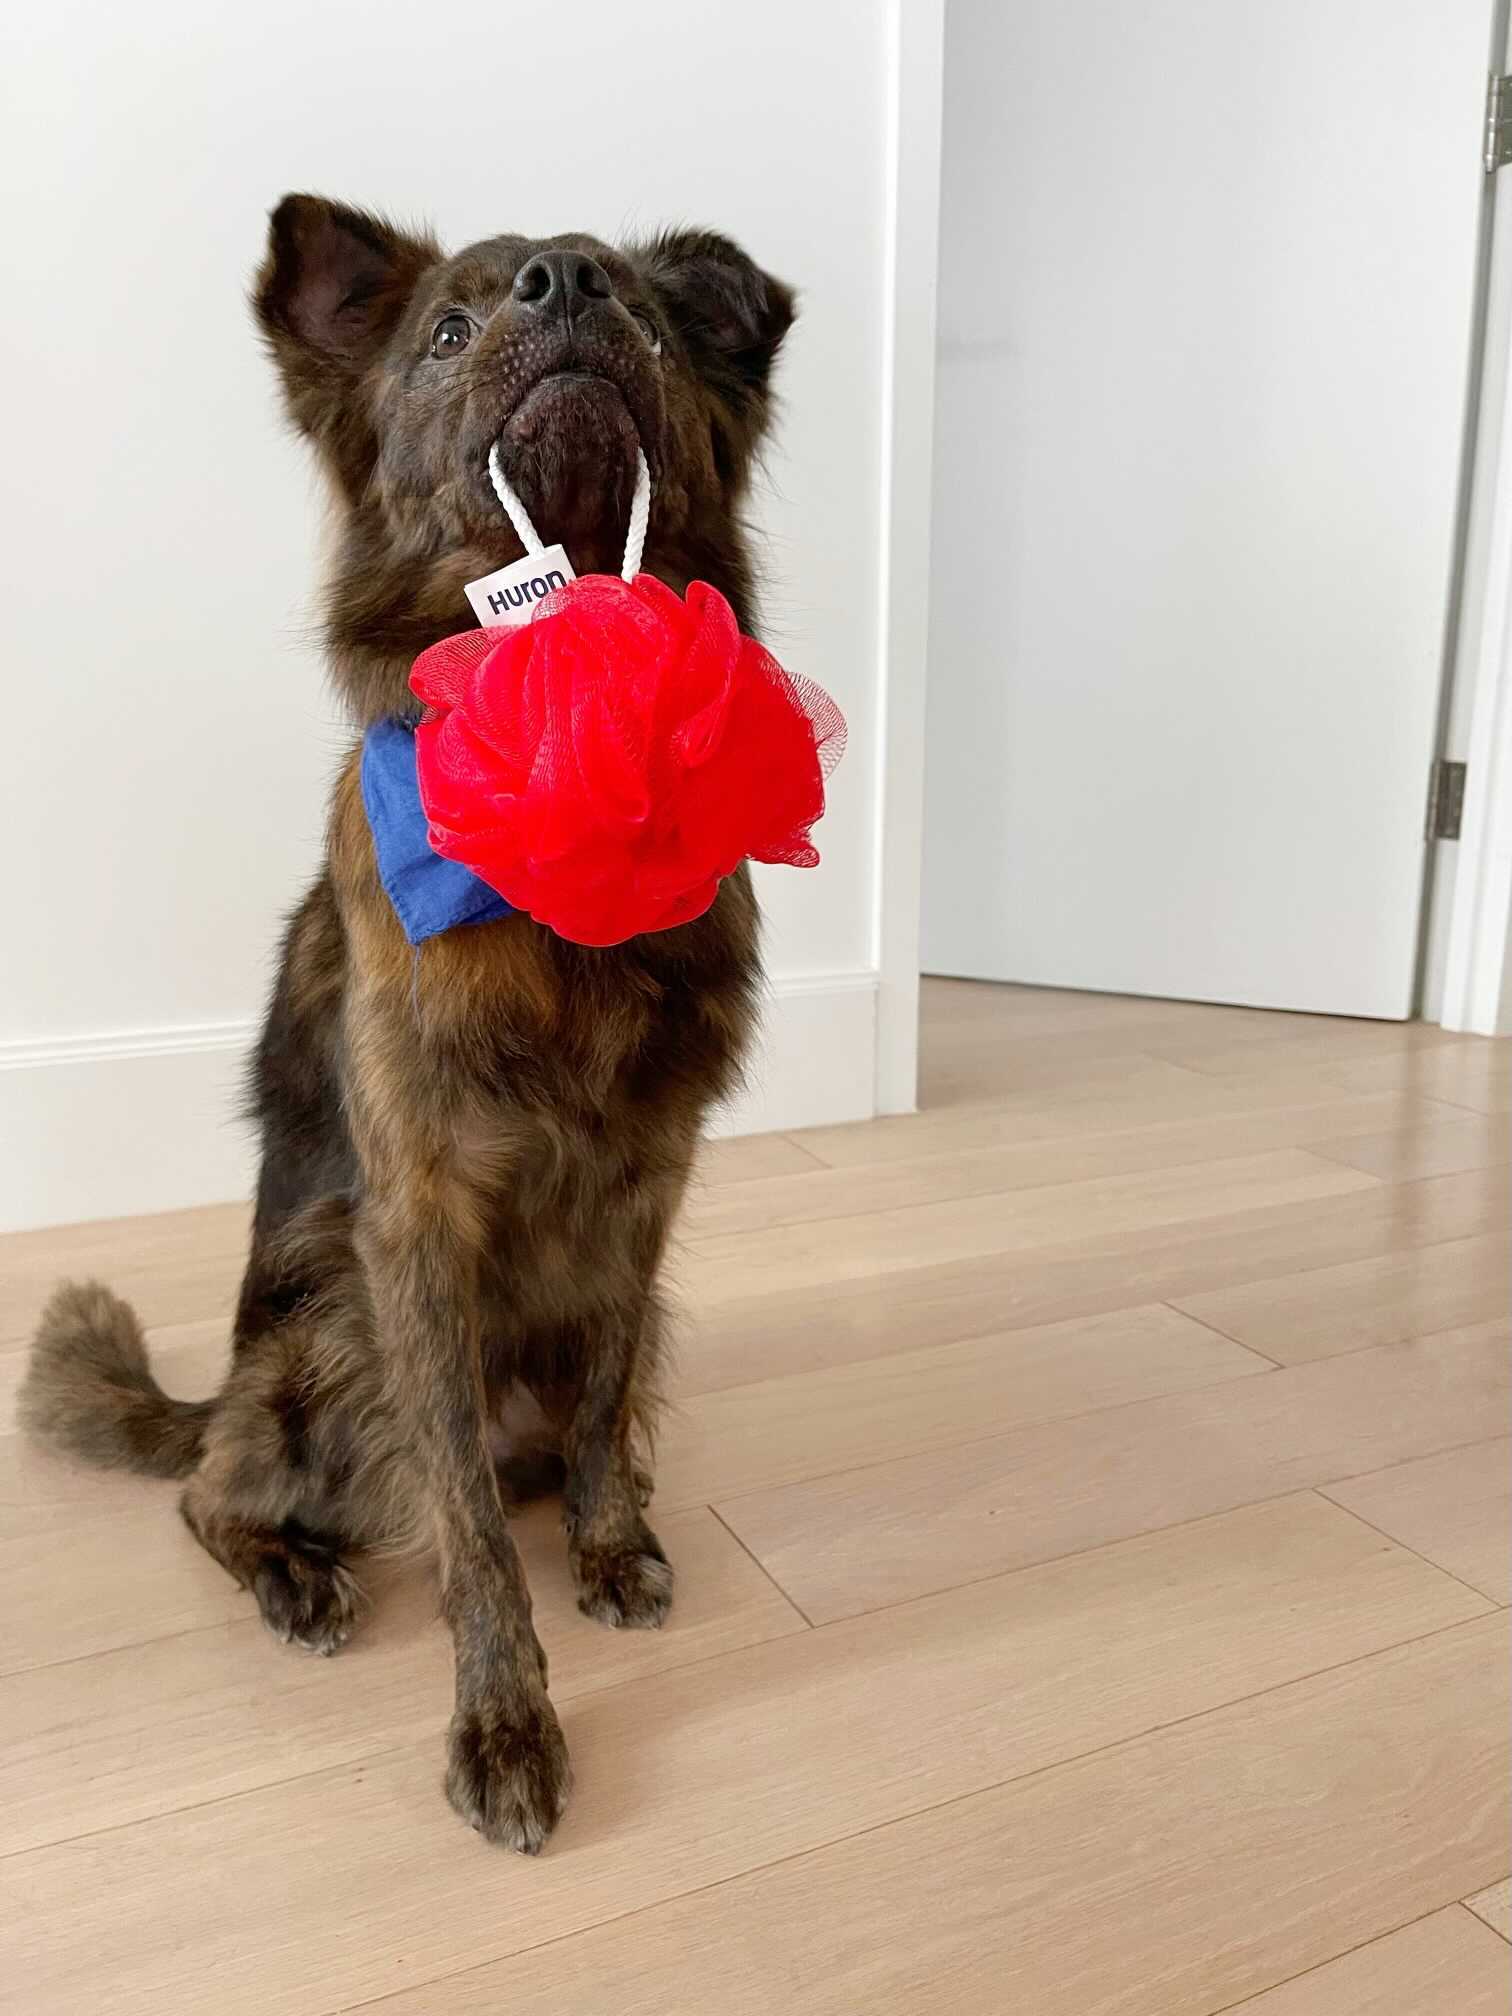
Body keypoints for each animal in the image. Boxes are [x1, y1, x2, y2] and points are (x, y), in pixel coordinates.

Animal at [17, 196, 798, 1846]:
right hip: (325, 1314)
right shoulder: (415, 1226)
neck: (571, 734)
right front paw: (505, 1720)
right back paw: (292, 1571)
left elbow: (604, 1396)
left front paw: (609, 1543)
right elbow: (468, 1540)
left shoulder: (646, 1188)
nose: (568, 286)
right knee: (214, 1494)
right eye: (449, 327)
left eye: (645, 317)